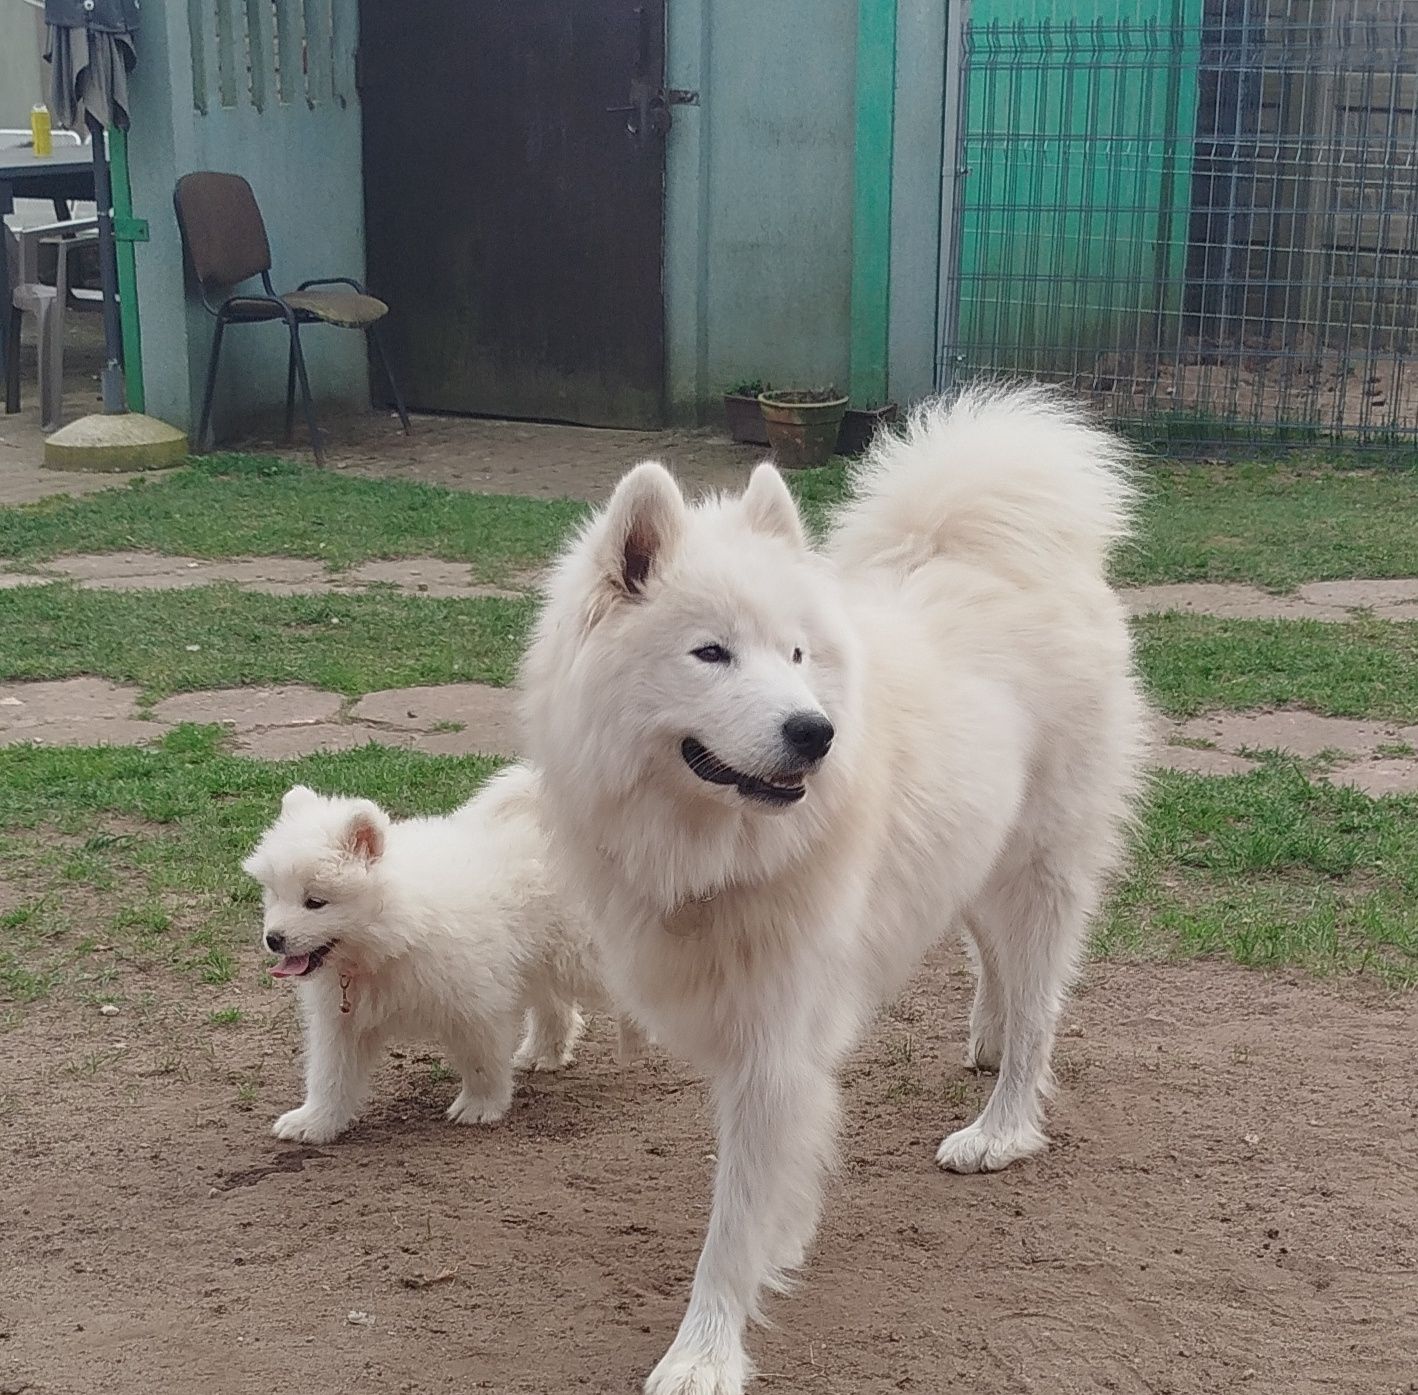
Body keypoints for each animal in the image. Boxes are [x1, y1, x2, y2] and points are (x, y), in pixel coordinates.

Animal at [246, 765, 635, 1145]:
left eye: (315, 902)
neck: (395, 932)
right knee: (555, 1005)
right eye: (275, 894)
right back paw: (542, 1054)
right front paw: (313, 1122)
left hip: (579, 953)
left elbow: (481, 1062)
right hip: (538, 957)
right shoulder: (341, 1020)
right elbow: (330, 1074)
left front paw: (479, 1106)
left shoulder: (476, 1003)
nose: (273, 939)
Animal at [521, 382, 1151, 1395]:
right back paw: (986, 1039)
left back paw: (1002, 1124)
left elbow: (733, 1220)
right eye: (711, 653)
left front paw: (704, 1351)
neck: (714, 848)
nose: (815, 732)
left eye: (796, 654)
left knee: (1041, 1007)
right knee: (995, 964)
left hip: (1040, 871)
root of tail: (1003, 553)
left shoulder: (775, 1047)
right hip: (971, 856)